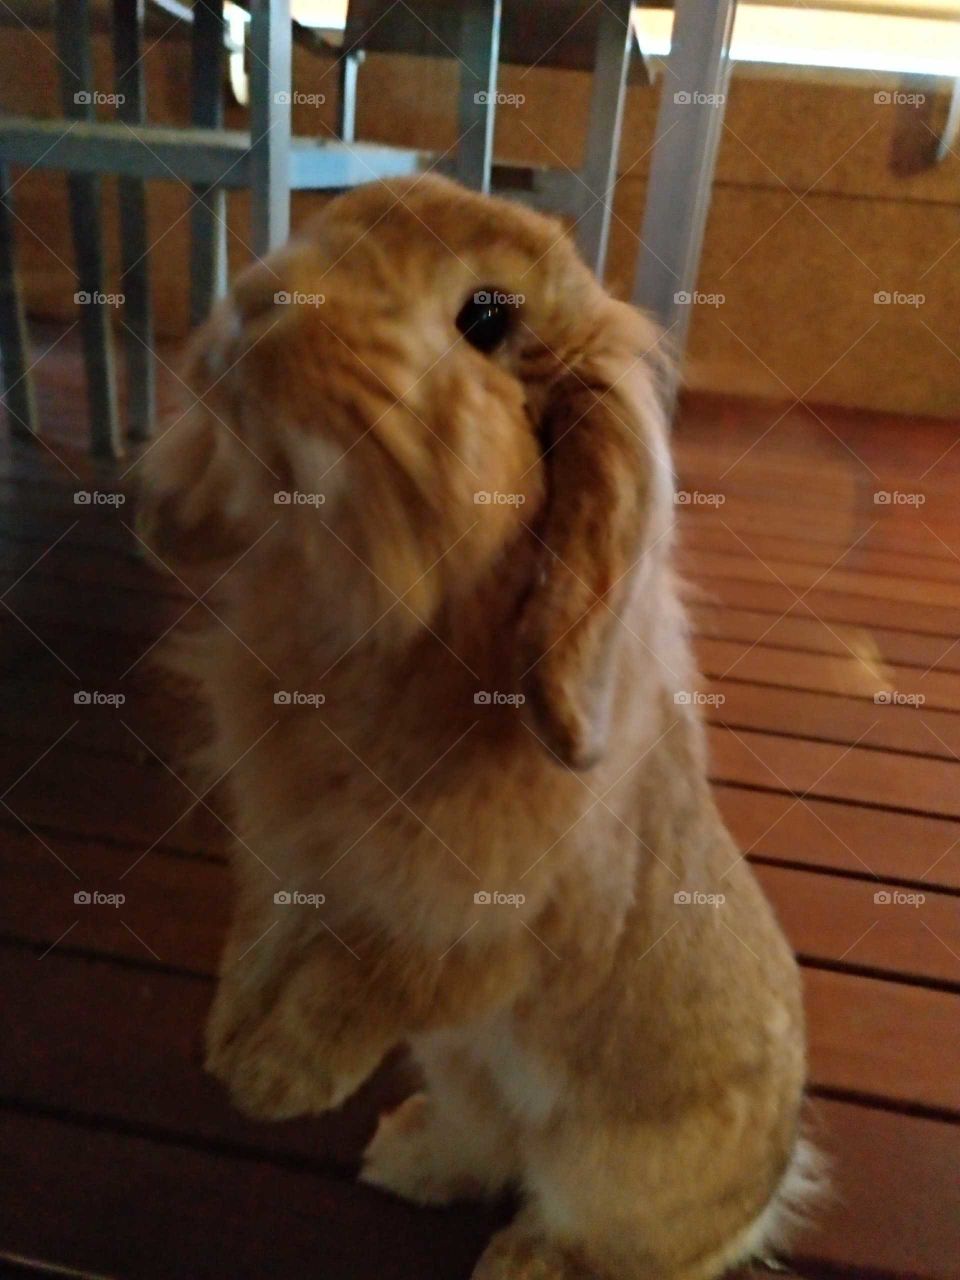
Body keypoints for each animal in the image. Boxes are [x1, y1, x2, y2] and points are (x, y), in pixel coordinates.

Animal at [138, 174, 820, 1280]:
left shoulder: (473, 930)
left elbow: (365, 979)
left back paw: (525, 1260)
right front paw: (230, 1041)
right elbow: (265, 935)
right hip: (468, 1079)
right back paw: (403, 1155)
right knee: (484, 1143)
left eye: (487, 317)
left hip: (610, 1172)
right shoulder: (287, 858)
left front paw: (274, 1078)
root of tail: (765, 1192)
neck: (376, 625)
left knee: (605, 1233)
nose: (255, 306)